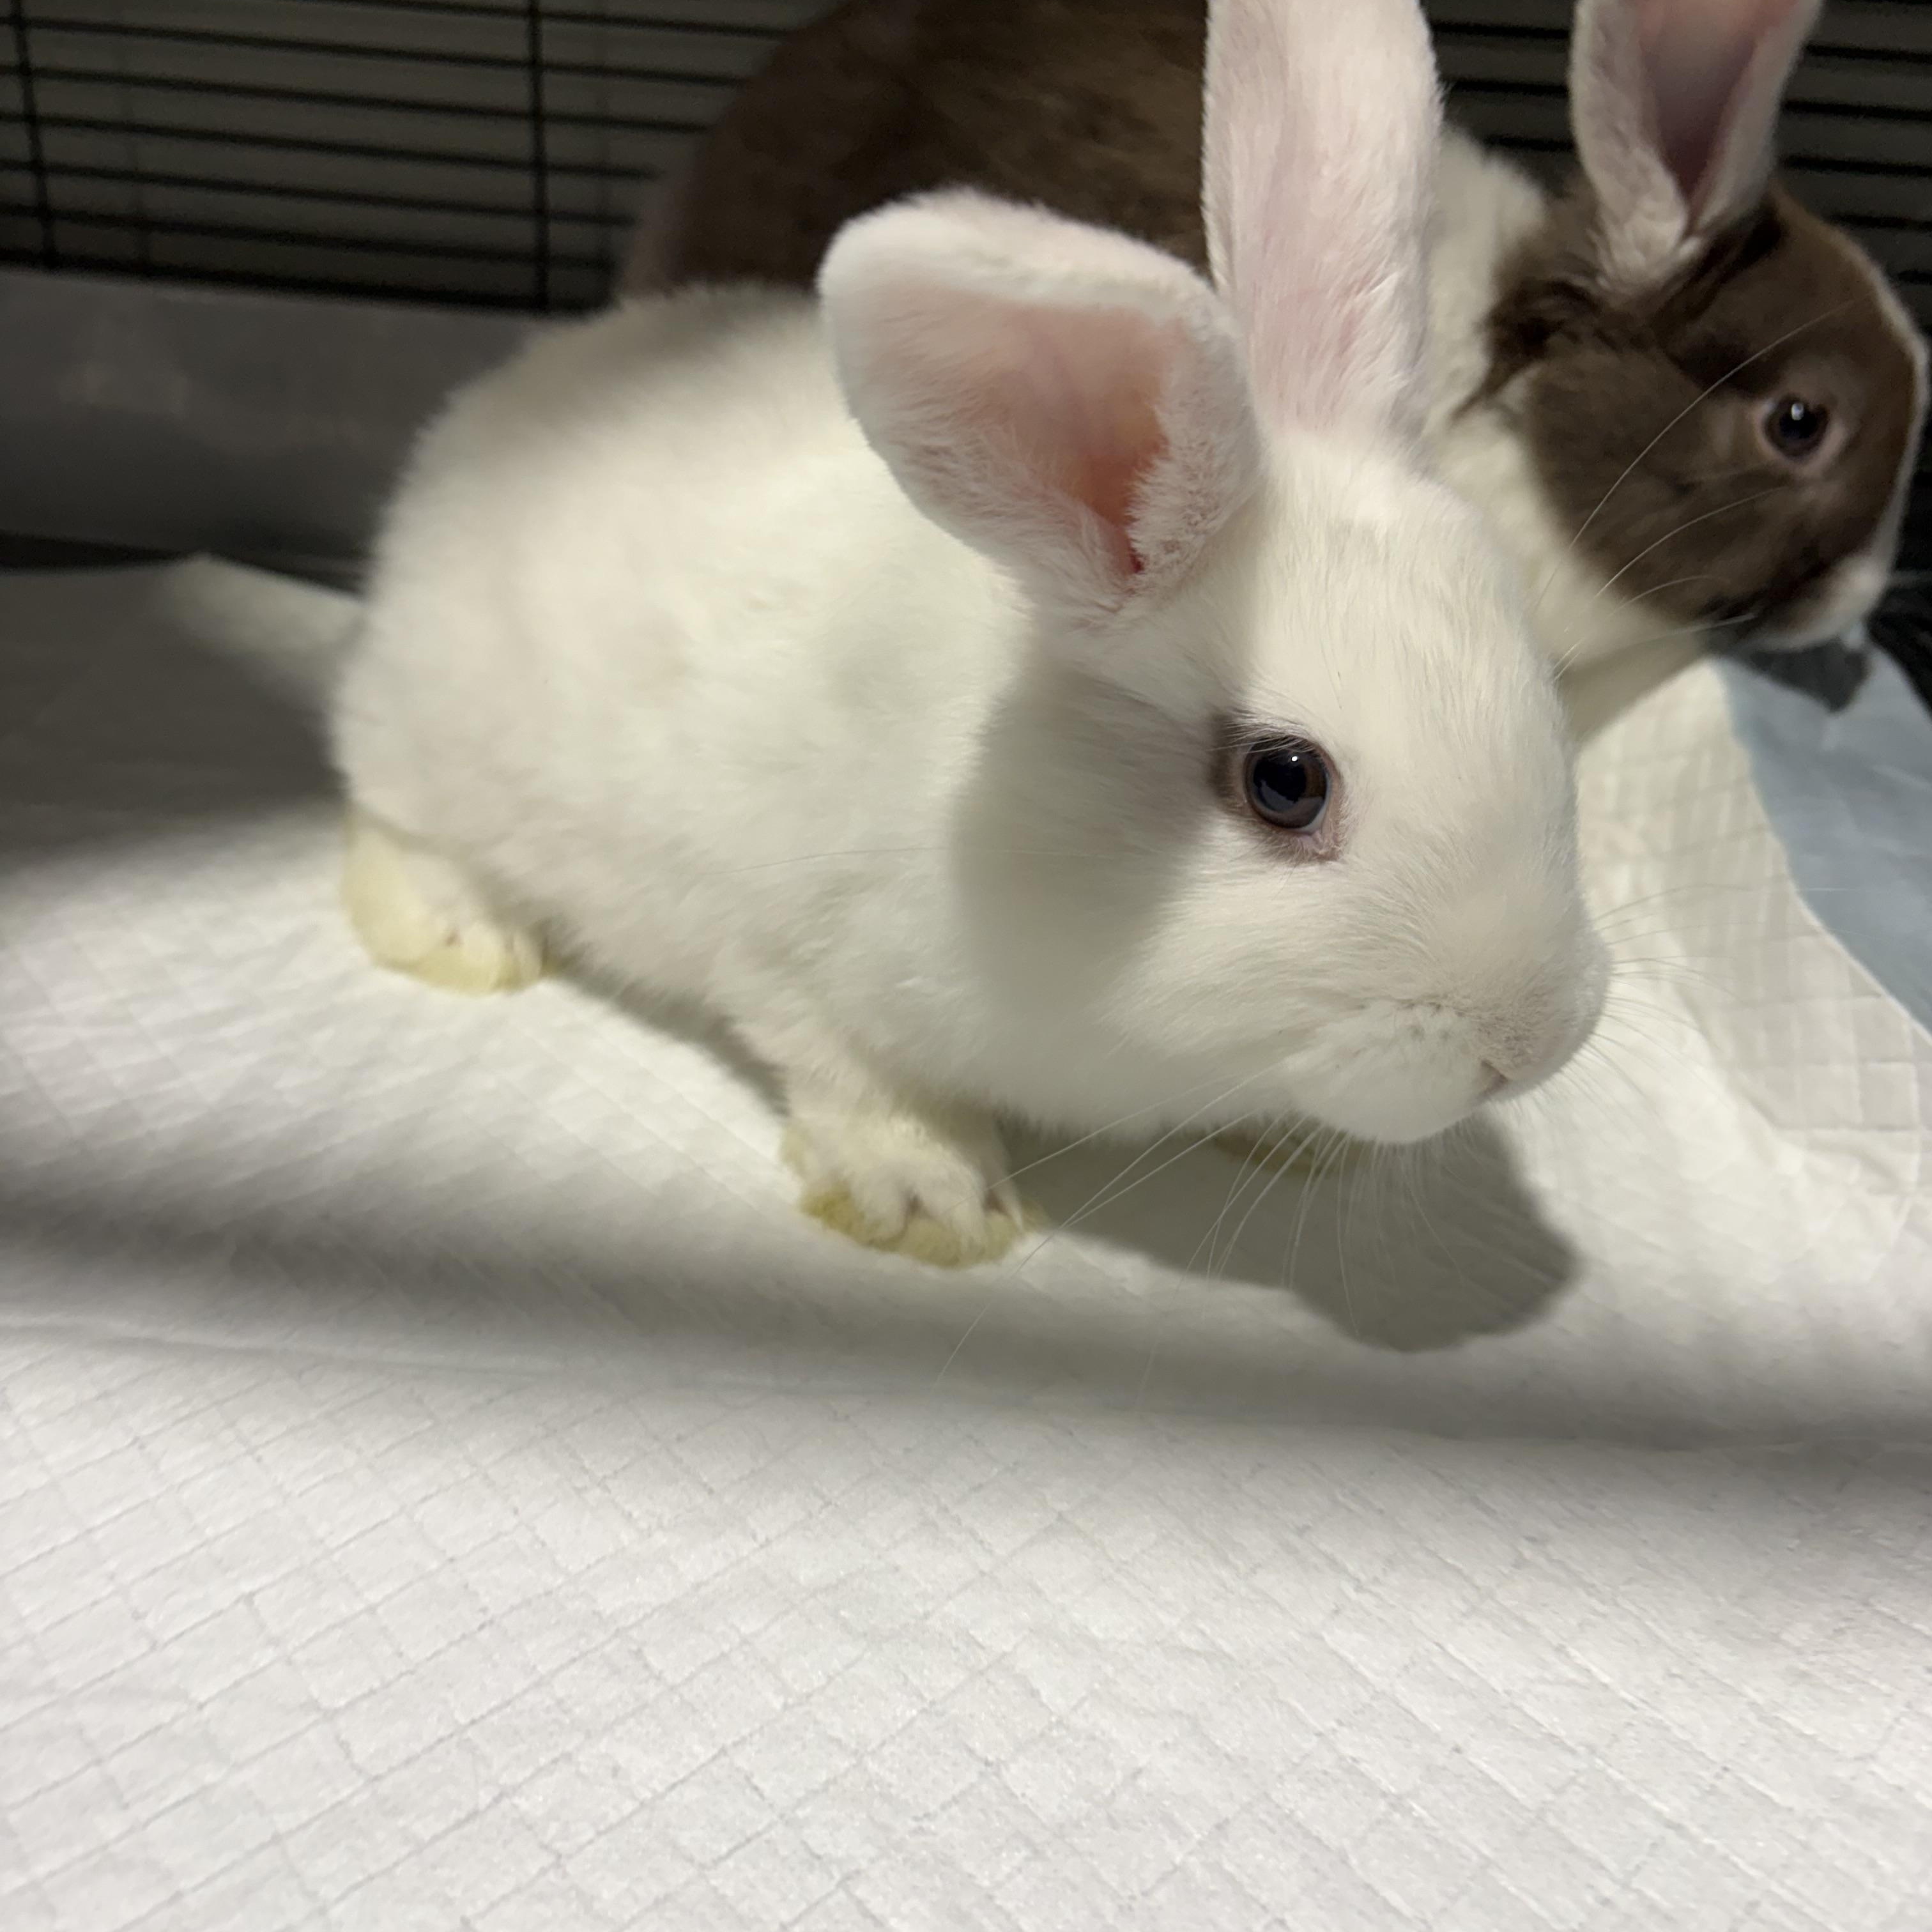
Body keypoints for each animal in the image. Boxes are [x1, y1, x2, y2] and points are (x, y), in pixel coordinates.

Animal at [332, 0, 1606, 1269]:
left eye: (1542, 686)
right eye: (1284, 782)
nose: (1530, 1042)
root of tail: (502, 398)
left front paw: (1307, 1141)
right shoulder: (797, 962)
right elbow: (861, 1083)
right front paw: (934, 1207)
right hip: (431, 738)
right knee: (394, 821)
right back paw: (466, 939)